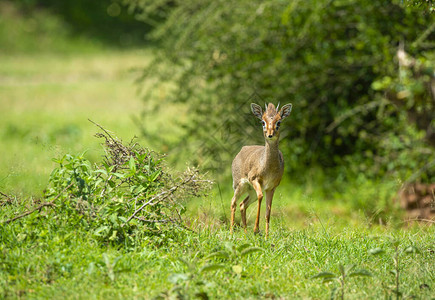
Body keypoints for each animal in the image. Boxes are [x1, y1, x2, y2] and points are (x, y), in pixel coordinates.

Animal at [232, 102, 292, 237]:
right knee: (233, 203)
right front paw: (256, 229)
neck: (268, 167)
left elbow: (268, 213)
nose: (270, 135)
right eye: (263, 122)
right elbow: (261, 196)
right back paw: (231, 232)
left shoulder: (271, 187)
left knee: (242, 204)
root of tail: (240, 151)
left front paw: (266, 236)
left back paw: (245, 233)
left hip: (250, 191)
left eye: (279, 122)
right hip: (240, 185)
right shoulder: (255, 180)